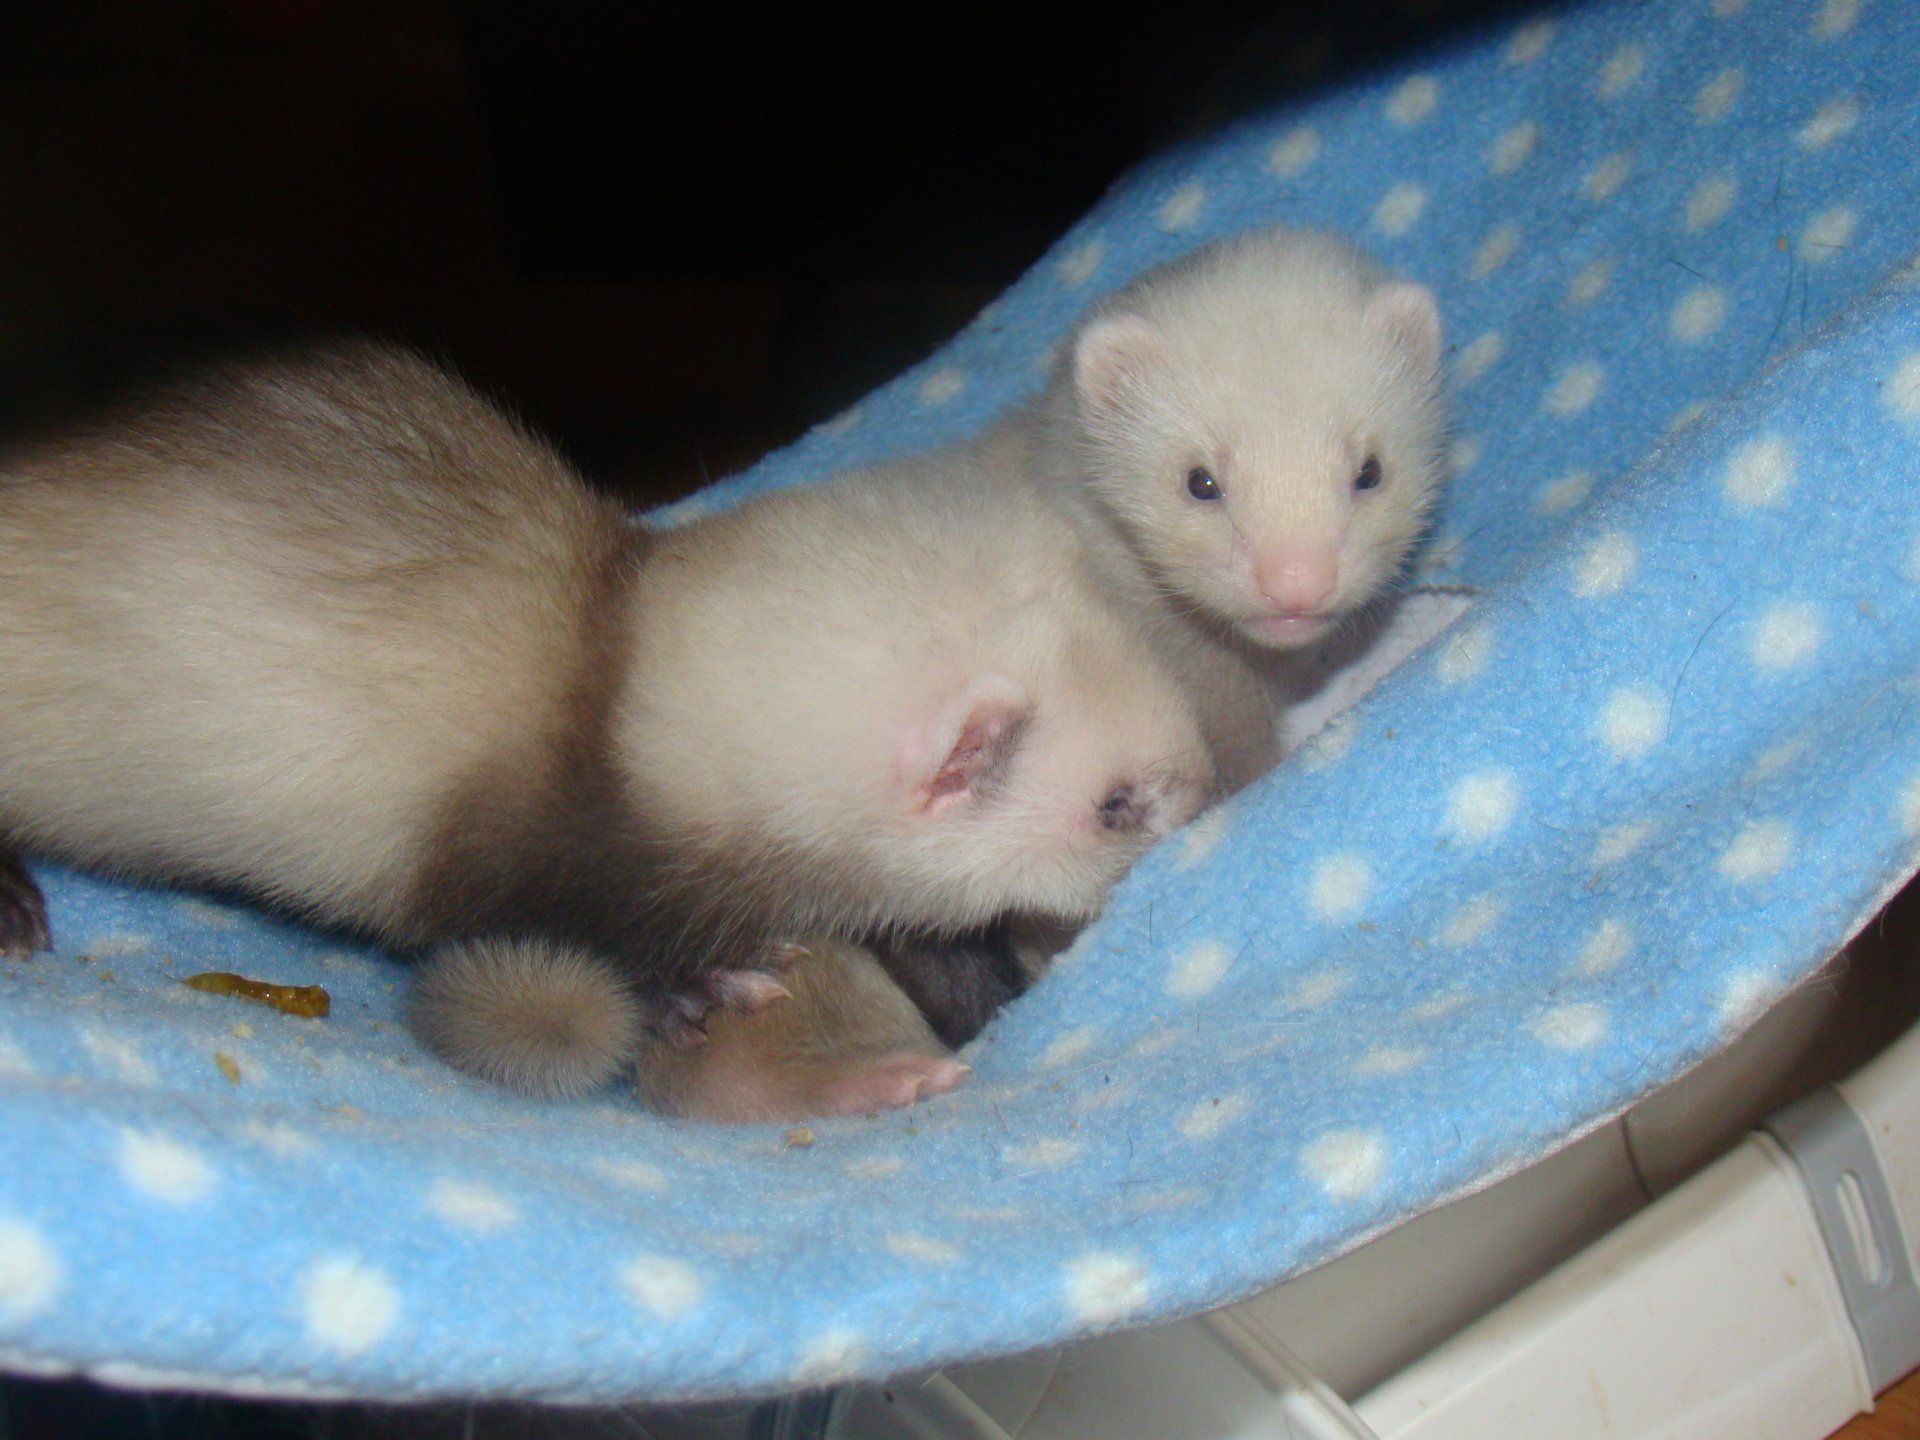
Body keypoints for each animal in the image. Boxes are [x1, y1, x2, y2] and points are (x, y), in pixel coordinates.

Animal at [0, 341, 1213, 1103]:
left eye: (1170, 684)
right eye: (1113, 803)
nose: (1209, 796)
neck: (616, 685)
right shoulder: (550, 861)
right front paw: (701, 989)